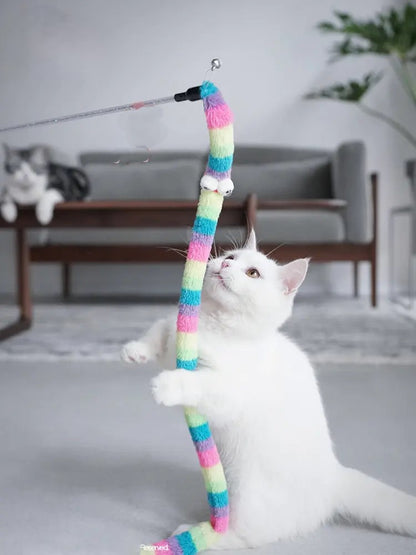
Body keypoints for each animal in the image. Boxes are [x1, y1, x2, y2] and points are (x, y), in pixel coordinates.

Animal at [122, 231, 416, 552]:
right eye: (231, 256)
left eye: (253, 273)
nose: (225, 264)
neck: (214, 325)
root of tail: (333, 476)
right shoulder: (174, 340)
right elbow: (159, 334)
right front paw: (135, 350)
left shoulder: (228, 391)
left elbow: (197, 383)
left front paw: (166, 386)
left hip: (249, 492)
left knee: (247, 535)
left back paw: (196, 532)